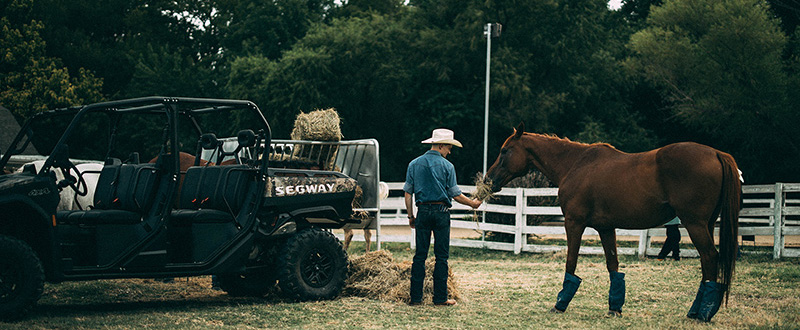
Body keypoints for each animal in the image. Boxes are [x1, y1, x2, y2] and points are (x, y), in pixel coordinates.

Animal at [484, 122, 740, 320]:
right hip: (706, 224)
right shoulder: (606, 228)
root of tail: (716, 153)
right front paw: (615, 308)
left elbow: (571, 263)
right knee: (707, 262)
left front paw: (560, 304)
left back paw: (702, 313)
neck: (575, 164)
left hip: (695, 224)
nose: (488, 180)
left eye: (505, 150)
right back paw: (697, 310)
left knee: (710, 257)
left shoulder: (574, 223)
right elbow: (613, 265)